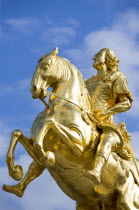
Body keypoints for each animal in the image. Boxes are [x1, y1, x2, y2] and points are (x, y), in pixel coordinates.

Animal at [2, 48, 139, 209]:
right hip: (89, 203)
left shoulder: (79, 146)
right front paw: (15, 171)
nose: (34, 89)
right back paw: (17, 187)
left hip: (127, 201)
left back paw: (93, 174)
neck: (59, 107)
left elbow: (49, 123)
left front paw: (47, 156)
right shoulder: (33, 143)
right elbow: (18, 134)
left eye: (46, 65)